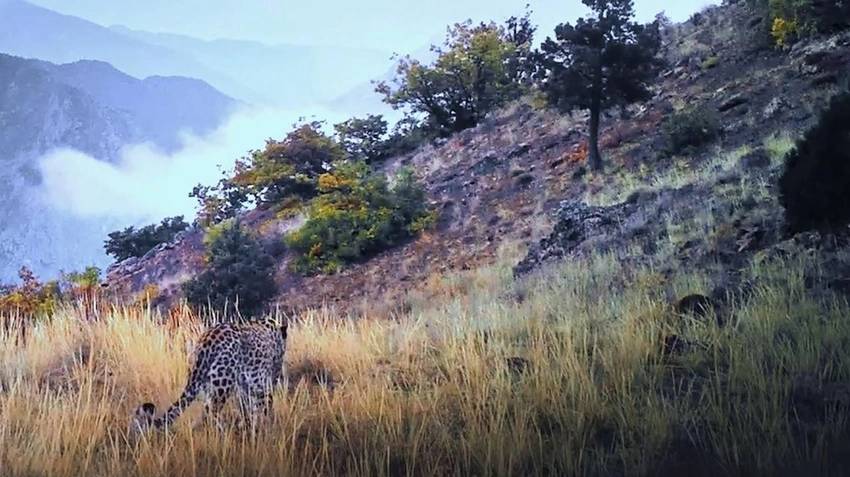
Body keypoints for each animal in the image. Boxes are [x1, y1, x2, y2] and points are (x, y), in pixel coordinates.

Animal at [131, 316, 286, 432]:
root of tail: (207, 341)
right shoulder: (263, 383)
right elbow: (265, 407)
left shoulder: (246, 387)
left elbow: (247, 408)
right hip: (222, 384)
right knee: (211, 414)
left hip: (208, 384)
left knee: (206, 411)